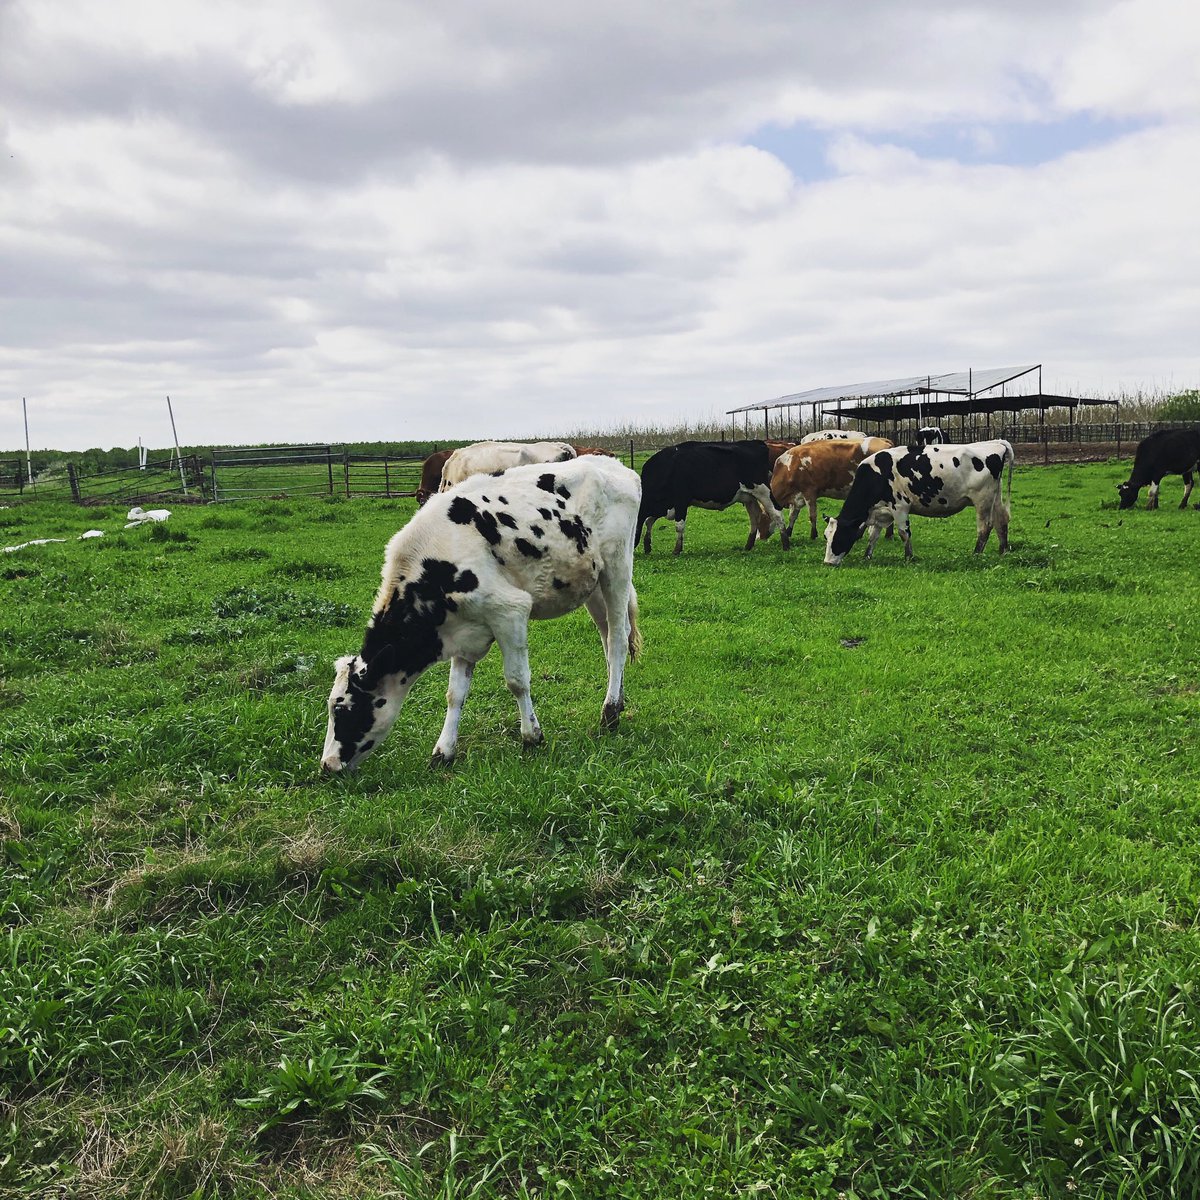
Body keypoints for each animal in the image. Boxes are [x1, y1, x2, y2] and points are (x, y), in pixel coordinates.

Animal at [321, 454, 641, 773]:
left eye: (342, 708)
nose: (327, 765)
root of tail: (611, 464)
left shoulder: (510, 611)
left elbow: (517, 680)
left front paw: (531, 737)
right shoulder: (463, 630)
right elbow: (455, 694)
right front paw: (443, 751)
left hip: (617, 568)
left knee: (617, 641)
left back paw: (610, 712)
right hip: (592, 584)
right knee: (609, 635)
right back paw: (619, 699)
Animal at [635, 440, 791, 555]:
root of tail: (757, 443)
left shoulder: (680, 502)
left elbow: (679, 526)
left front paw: (677, 550)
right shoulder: (663, 505)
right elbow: (649, 521)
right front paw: (647, 546)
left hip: (763, 490)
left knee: (777, 513)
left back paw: (785, 544)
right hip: (749, 497)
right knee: (755, 516)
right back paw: (748, 545)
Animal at [823, 439, 1015, 564]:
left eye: (839, 535)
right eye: (826, 536)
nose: (827, 563)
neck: (877, 474)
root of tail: (995, 443)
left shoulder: (899, 506)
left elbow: (904, 533)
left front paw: (909, 558)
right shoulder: (880, 511)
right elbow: (873, 535)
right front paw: (867, 556)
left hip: (982, 499)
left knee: (985, 526)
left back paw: (976, 555)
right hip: (995, 498)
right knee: (1001, 521)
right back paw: (1003, 551)